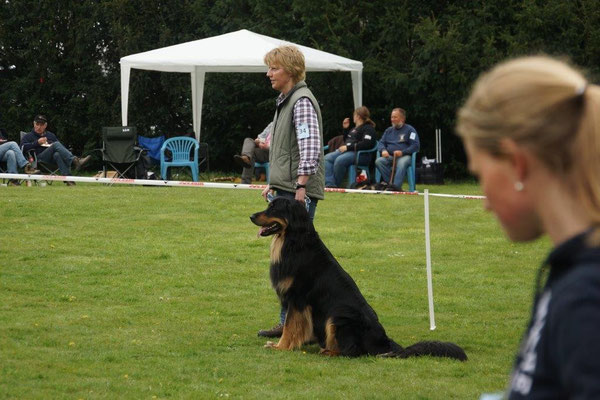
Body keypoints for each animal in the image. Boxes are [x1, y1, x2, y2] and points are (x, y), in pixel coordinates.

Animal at [251, 197, 466, 360]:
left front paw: (280, 347)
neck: (295, 241)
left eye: (273, 208)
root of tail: (384, 341)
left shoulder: (298, 298)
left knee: (352, 351)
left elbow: (290, 327)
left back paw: (328, 351)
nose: (251, 216)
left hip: (337, 317)